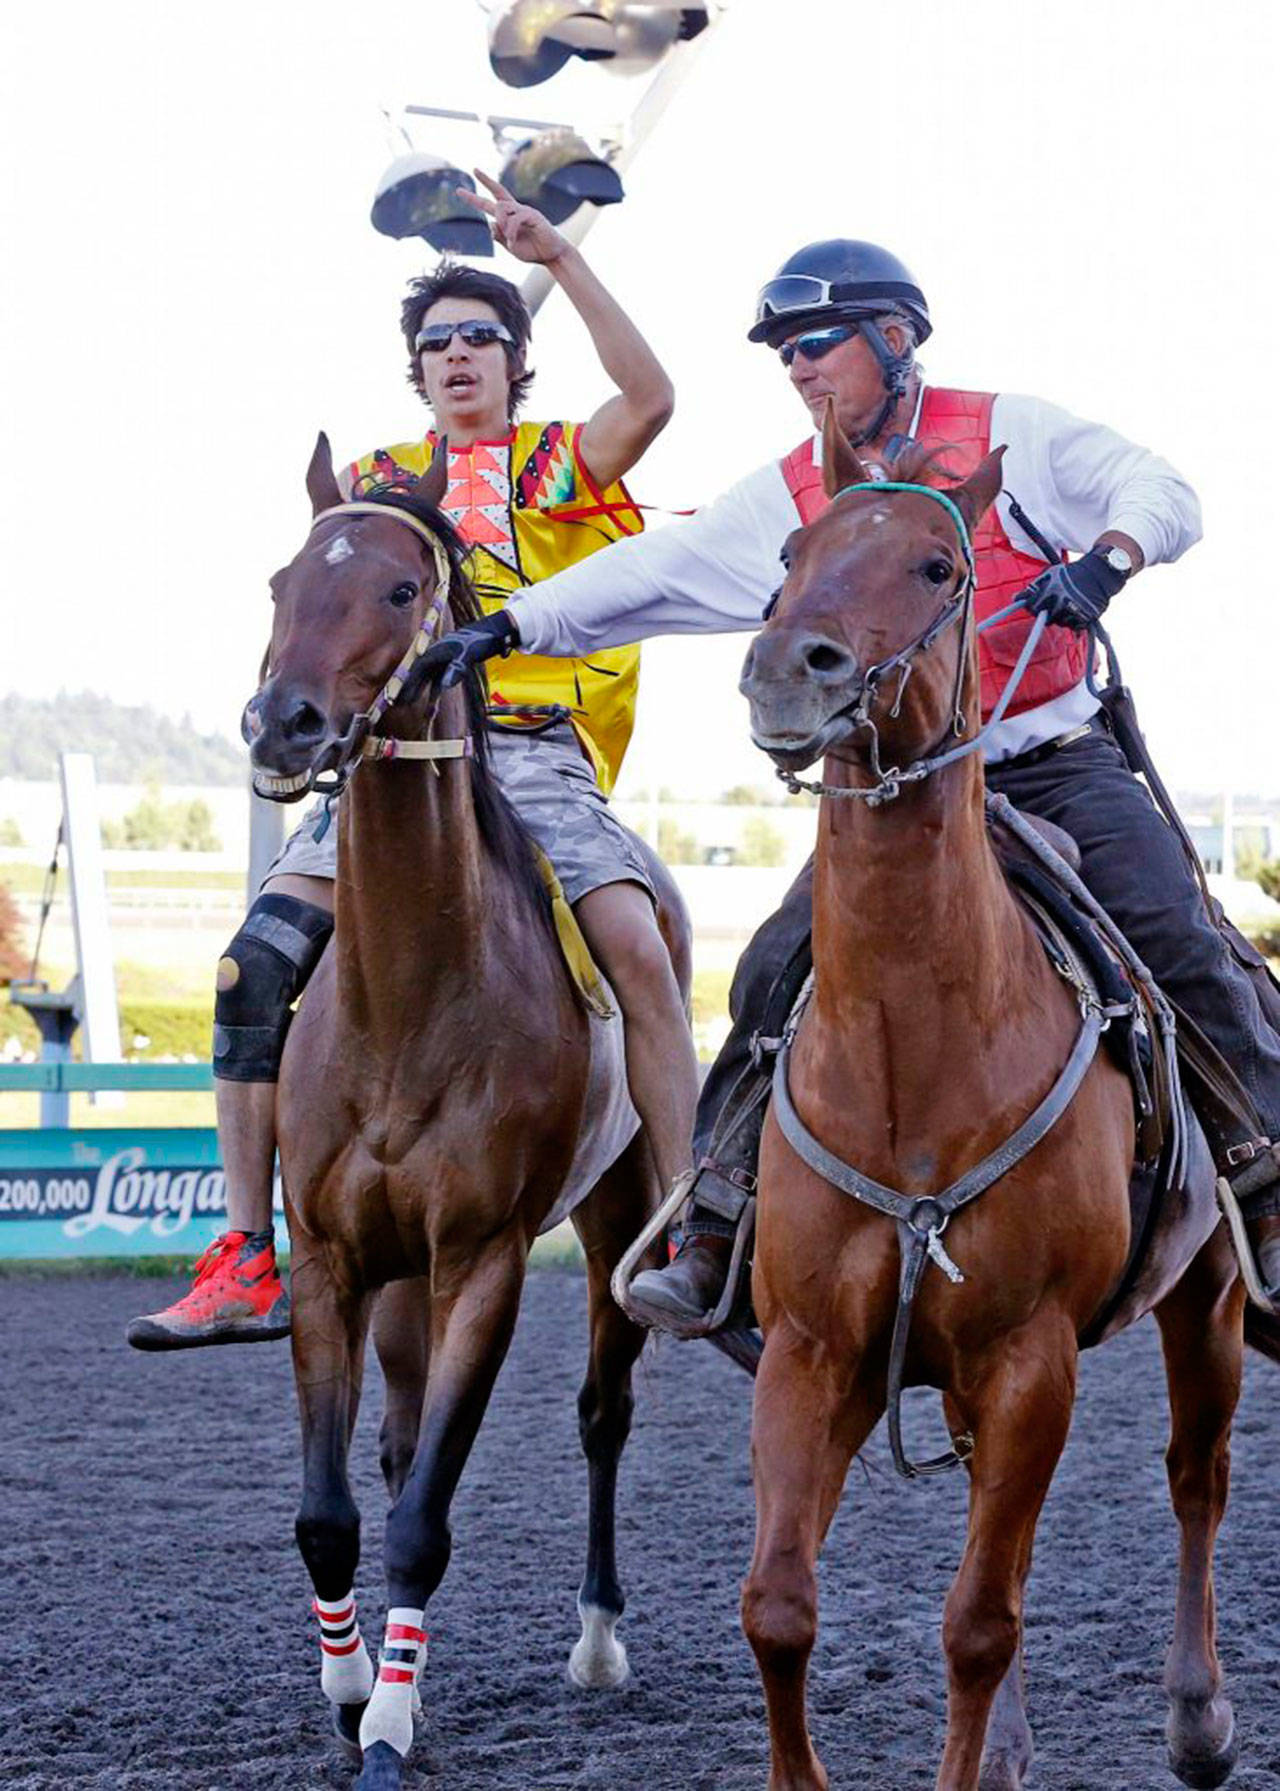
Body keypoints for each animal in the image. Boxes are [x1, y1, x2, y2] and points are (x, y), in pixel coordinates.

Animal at [241, 437, 680, 1791]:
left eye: (397, 589)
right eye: (281, 581)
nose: (281, 721)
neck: (409, 1005)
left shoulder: (484, 1259)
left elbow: (421, 1523)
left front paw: (387, 1721)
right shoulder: (333, 1257)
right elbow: (331, 1514)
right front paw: (349, 1689)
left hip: (609, 1215)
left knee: (603, 1415)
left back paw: (596, 1641)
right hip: (398, 1275)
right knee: (392, 1443)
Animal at [741, 406, 1253, 1791]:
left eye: (937, 566)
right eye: (791, 551)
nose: (788, 671)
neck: (914, 1062)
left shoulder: (1031, 1358)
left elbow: (977, 1620)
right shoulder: (810, 1351)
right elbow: (778, 1608)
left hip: (1205, 1302)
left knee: (1192, 1478)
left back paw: (1197, 1718)